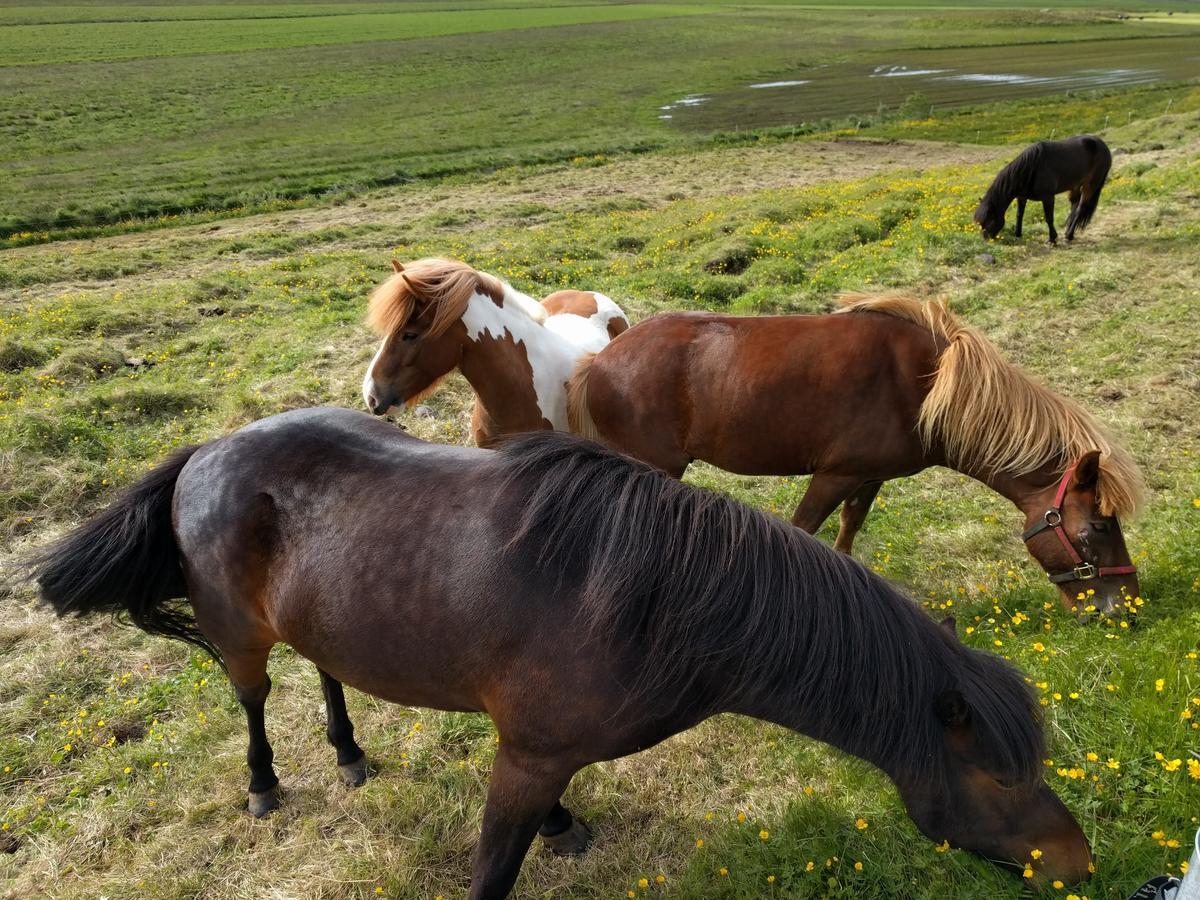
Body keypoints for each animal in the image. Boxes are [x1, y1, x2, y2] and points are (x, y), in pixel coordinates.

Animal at [35, 408, 1099, 897]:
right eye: (999, 780)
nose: (1079, 861)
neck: (662, 603)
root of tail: (209, 450)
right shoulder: (526, 755)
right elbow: (494, 869)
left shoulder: (542, 750)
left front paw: (563, 824)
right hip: (241, 639)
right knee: (254, 698)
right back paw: (266, 783)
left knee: (326, 668)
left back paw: (348, 753)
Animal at [571, 294, 1142, 614]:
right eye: (1097, 528)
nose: (1125, 608)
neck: (924, 387)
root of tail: (600, 359)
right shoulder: (835, 475)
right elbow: (804, 530)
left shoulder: (868, 478)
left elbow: (849, 527)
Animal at [969, 135, 1108, 244]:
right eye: (979, 223)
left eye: (990, 222)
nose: (987, 240)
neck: (1032, 168)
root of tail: (1102, 145)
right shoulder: (1021, 197)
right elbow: (1019, 215)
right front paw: (1018, 234)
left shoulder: (1048, 198)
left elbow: (1048, 218)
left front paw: (1052, 239)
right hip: (1075, 186)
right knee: (1074, 206)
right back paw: (1068, 231)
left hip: (1090, 186)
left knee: (1080, 208)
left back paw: (1069, 235)